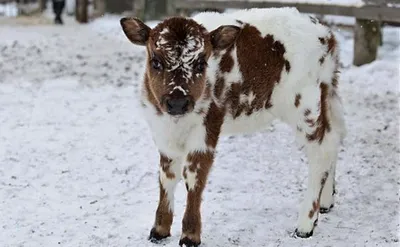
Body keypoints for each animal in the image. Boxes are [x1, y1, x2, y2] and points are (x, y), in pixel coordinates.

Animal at [119, 6, 346, 246]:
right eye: (156, 62)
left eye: (201, 63)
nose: (178, 102)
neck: (176, 122)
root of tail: (326, 33)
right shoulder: (162, 131)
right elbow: (167, 175)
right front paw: (160, 229)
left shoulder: (207, 127)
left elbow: (194, 176)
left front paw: (190, 235)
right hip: (327, 95)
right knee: (334, 136)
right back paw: (326, 202)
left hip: (305, 104)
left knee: (320, 150)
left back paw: (305, 223)